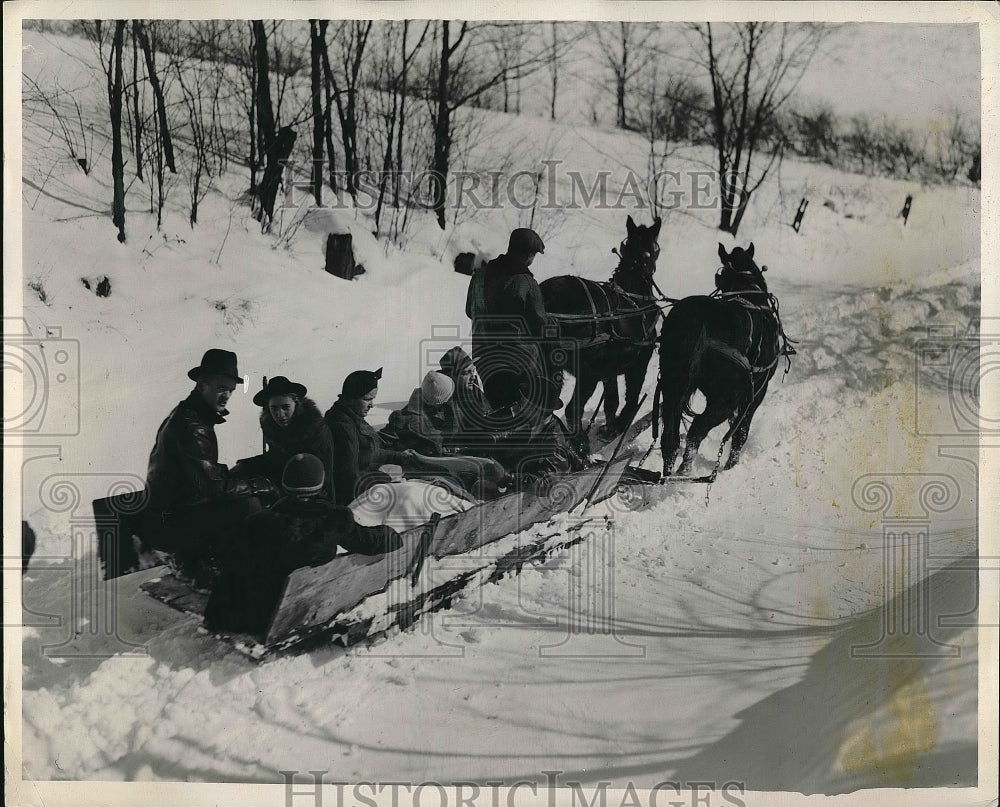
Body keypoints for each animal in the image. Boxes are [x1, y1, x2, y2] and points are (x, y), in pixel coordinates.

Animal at [544, 215, 660, 438]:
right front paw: (619, 426)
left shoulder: (610, 370)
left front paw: (610, 428)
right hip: (587, 373)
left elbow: (611, 401)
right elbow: (631, 399)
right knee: (572, 409)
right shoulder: (640, 360)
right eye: (655, 248)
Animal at [660, 240, 792, 480]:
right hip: (726, 397)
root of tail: (698, 321)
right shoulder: (757, 391)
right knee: (697, 430)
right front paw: (732, 464)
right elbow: (741, 430)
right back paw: (684, 474)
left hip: (672, 385)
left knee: (671, 438)